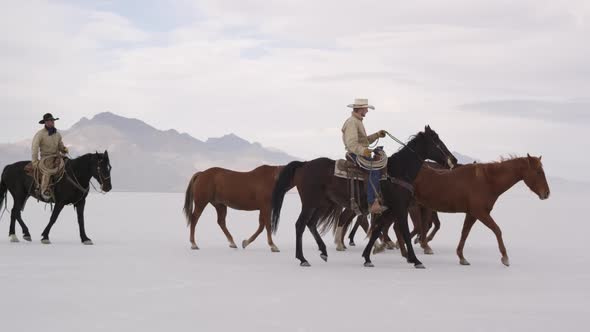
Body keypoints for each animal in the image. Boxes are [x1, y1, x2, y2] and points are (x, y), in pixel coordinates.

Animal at [272, 126, 458, 268]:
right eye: (437, 141)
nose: (453, 160)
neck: (398, 171)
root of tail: (303, 165)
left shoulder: (388, 209)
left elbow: (377, 230)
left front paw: (368, 257)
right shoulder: (400, 208)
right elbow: (403, 231)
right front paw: (415, 260)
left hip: (323, 203)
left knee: (311, 224)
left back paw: (323, 252)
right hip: (310, 203)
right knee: (300, 225)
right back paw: (303, 259)